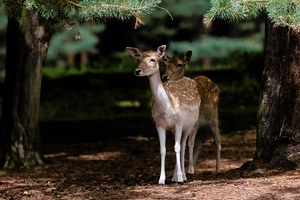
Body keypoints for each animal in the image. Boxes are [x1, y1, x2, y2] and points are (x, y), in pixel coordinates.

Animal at [125, 45, 200, 184]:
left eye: (153, 59)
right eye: (138, 59)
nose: (137, 70)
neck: (167, 106)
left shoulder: (179, 122)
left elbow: (177, 147)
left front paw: (180, 178)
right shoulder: (159, 124)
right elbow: (163, 149)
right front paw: (162, 179)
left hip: (190, 124)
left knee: (183, 145)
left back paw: (183, 176)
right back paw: (175, 177)